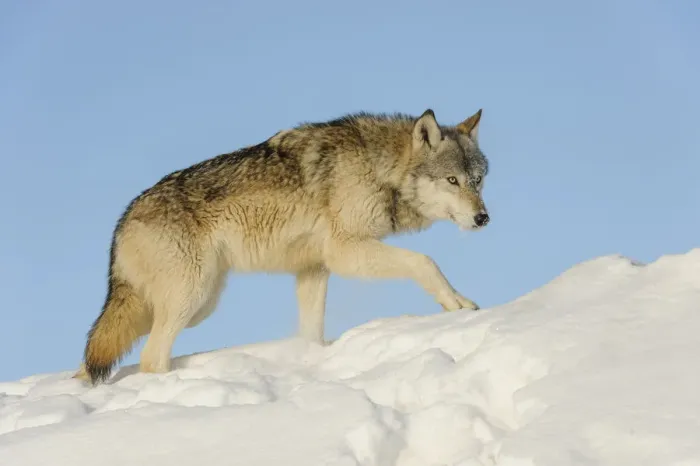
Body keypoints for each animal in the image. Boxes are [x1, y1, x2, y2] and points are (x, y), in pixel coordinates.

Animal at [74, 108, 490, 384]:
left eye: (478, 180)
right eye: (452, 180)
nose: (483, 218)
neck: (379, 168)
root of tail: (123, 220)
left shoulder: (314, 268)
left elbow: (312, 332)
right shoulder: (345, 252)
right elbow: (425, 261)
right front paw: (456, 304)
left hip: (187, 305)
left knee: (100, 348)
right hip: (191, 297)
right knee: (149, 357)